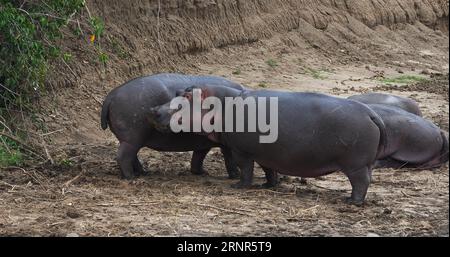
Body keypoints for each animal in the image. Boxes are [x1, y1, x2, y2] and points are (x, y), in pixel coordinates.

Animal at [100, 73, 244, 179]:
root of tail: (111, 95)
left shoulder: (204, 142)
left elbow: (199, 156)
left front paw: (201, 172)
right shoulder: (225, 144)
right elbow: (229, 158)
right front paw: (235, 175)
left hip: (130, 140)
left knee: (132, 156)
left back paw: (143, 172)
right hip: (132, 139)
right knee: (123, 156)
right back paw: (131, 177)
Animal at [153, 85, 388, 204]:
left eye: (185, 96)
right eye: (178, 93)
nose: (153, 110)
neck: (221, 103)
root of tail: (371, 113)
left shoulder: (242, 151)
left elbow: (245, 169)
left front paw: (239, 186)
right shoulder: (265, 152)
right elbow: (268, 170)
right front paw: (268, 185)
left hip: (355, 165)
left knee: (361, 182)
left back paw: (351, 202)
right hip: (363, 163)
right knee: (366, 180)